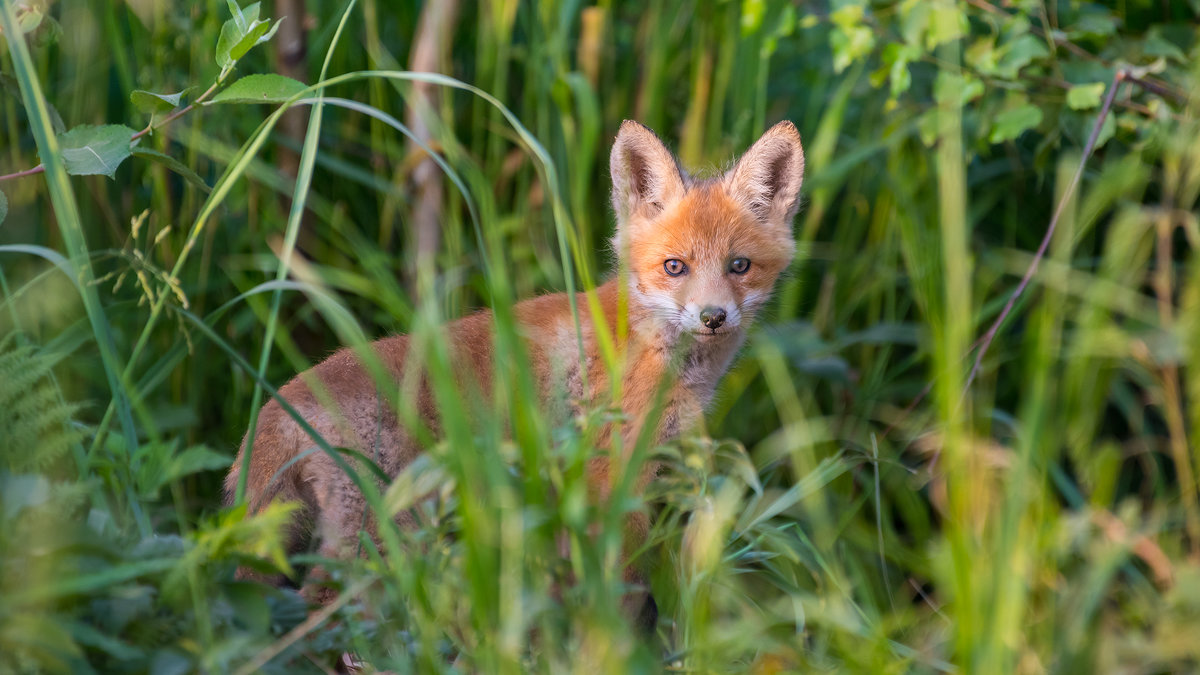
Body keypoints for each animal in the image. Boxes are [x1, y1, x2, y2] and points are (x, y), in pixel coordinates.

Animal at [225, 119, 806, 629]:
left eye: (739, 266)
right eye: (674, 267)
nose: (713, 317)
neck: (649, 351)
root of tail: (278, 403)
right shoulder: (615, 479)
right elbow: (623, 588)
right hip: (378, 539)